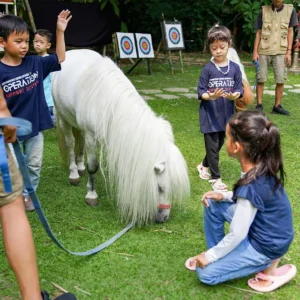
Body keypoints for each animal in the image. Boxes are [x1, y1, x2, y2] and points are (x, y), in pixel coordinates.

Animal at [52, 49, 190, 224]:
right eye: (160, 188)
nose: (164, 218)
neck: (108, 100)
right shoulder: (91, 135)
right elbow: (93, 167)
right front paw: (91, 195)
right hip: (62, 116)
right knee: (70, 143)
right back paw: (74, 173)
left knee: (80, 142)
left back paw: (80, 166)